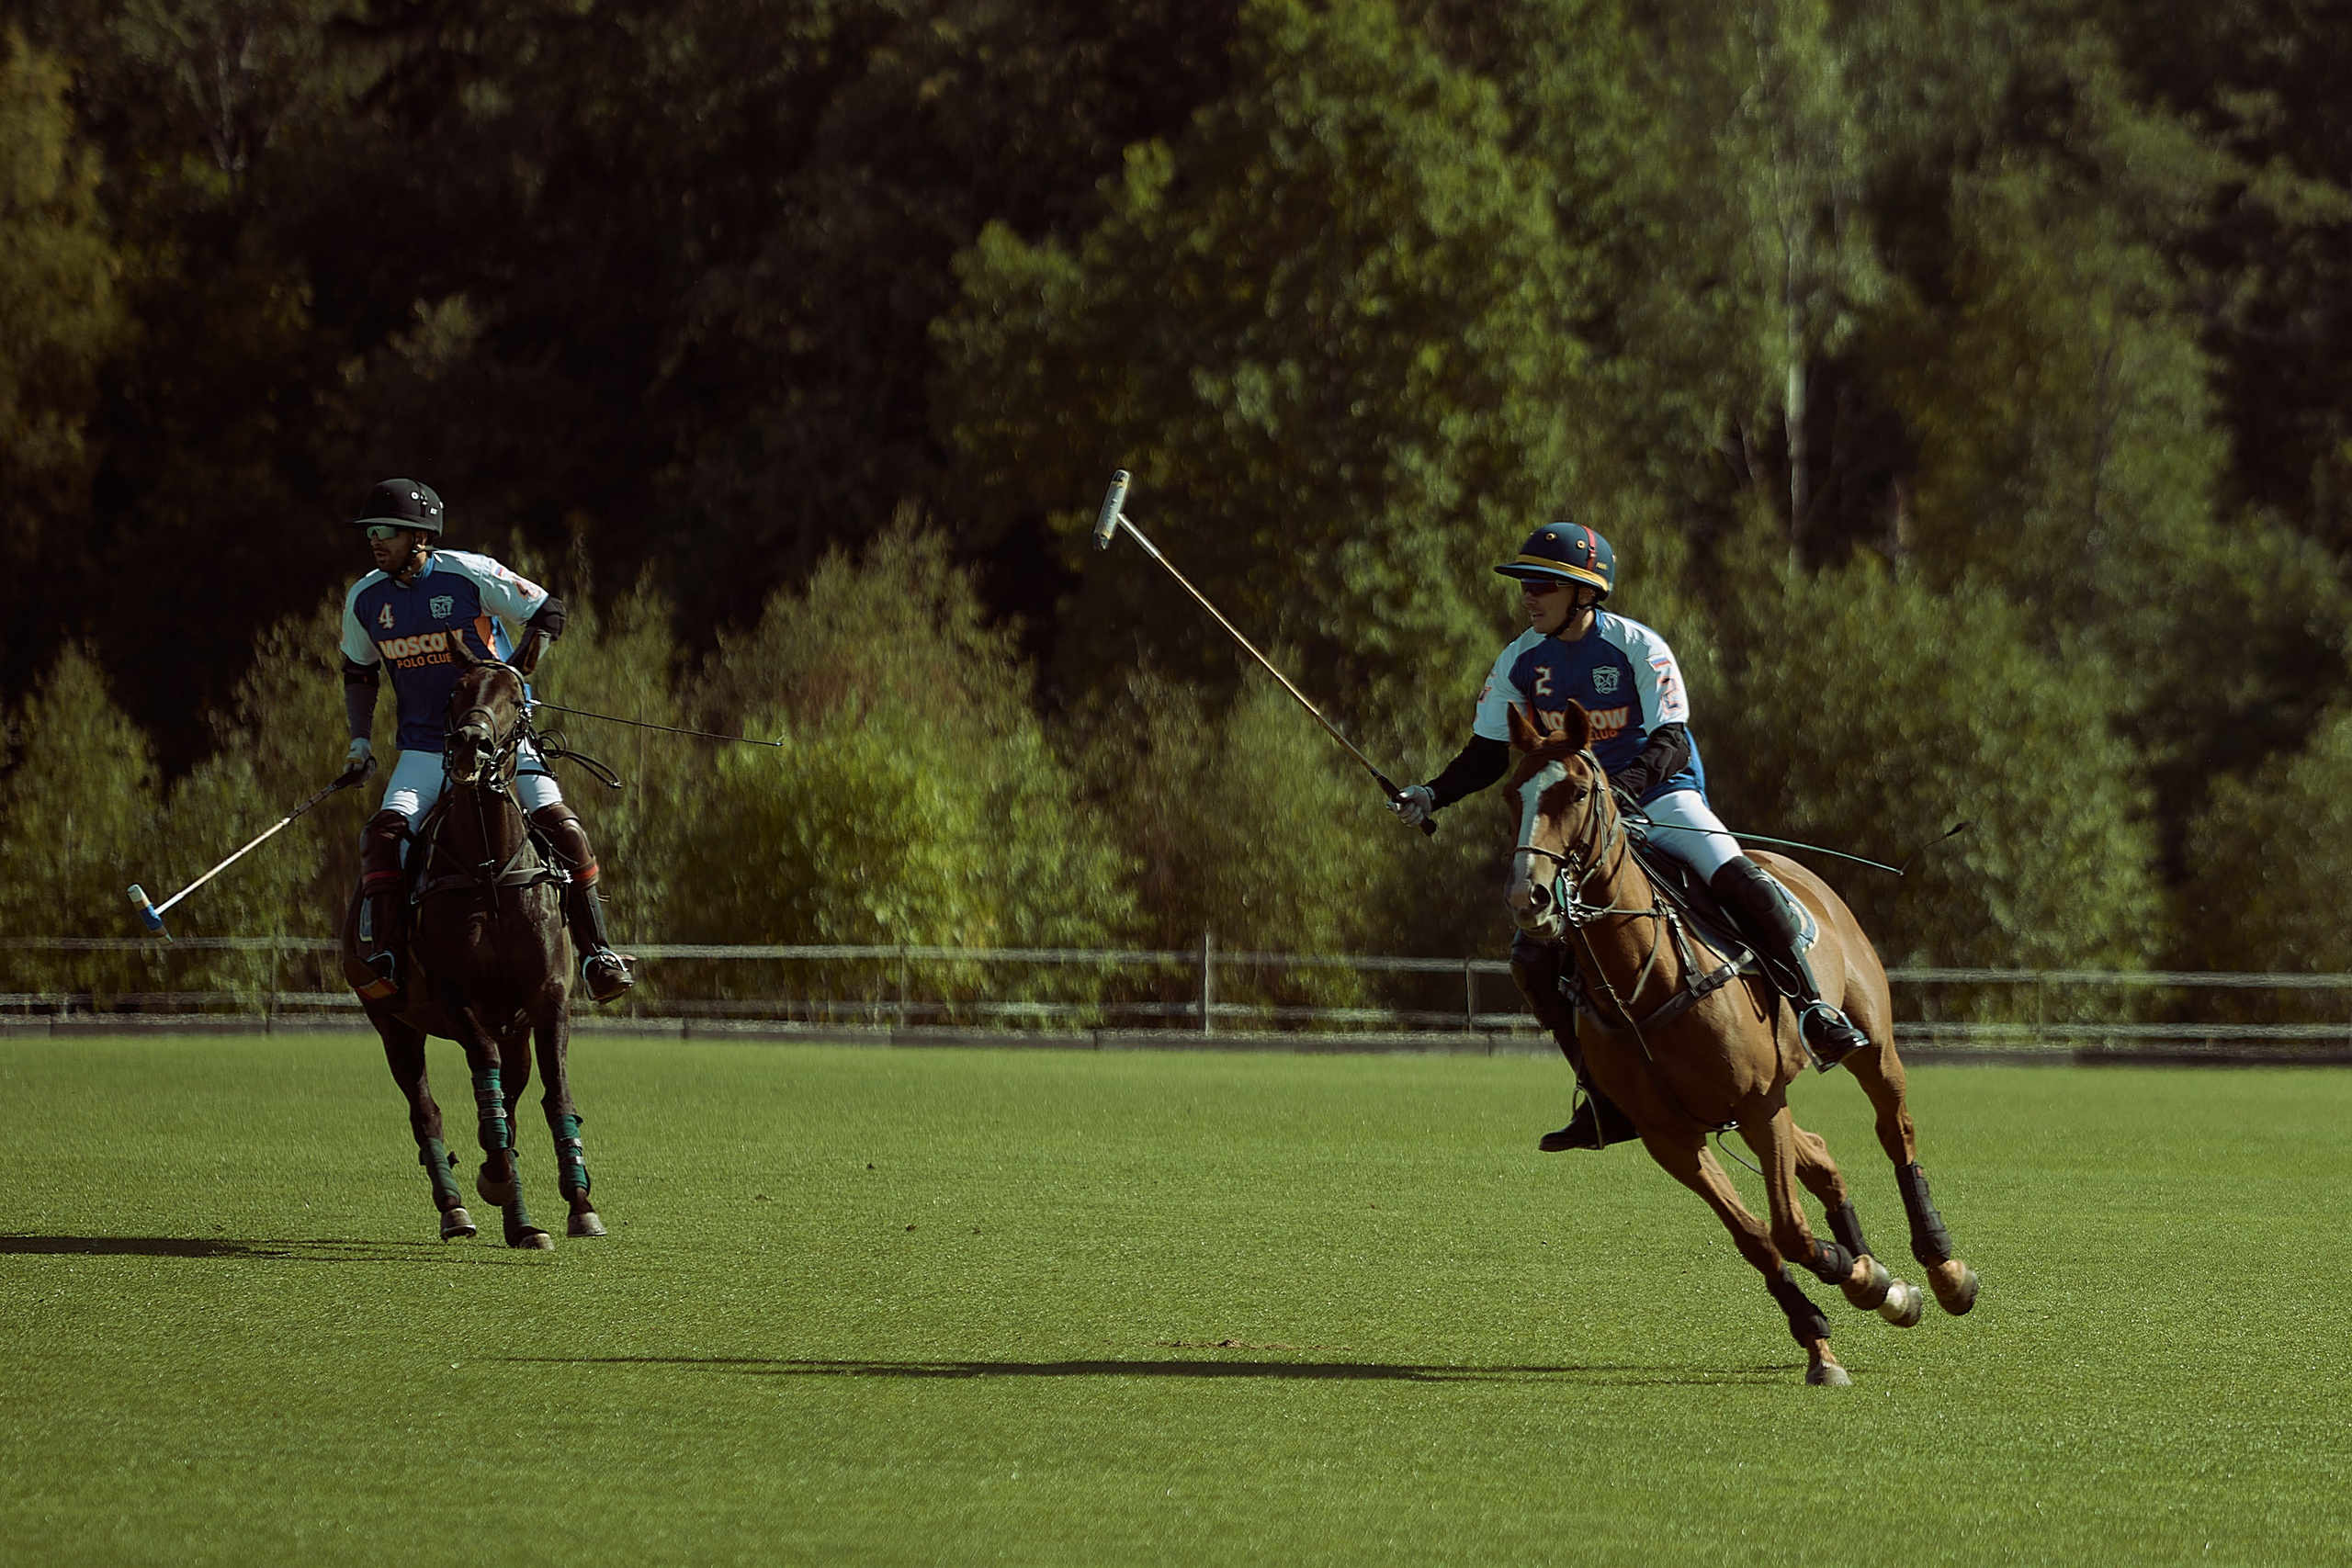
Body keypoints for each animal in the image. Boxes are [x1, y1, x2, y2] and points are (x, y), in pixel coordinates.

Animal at [339, 643, 603, 1249]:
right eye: (456, 691)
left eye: (515, 697)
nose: (469, 745)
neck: (489, 867)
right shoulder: (456, 999)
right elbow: (486, 1084)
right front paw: (495, 1177)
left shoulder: (547, 997)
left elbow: (554, 1094)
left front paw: (579, 1202)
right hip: (393, 1023)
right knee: (427, 1110)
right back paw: (456, 1207)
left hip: (515, 1028)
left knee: (512, 1099)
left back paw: (524, 1224)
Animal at [1503, 700, 1977, 1385]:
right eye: (1513, 792)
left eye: (1578, 790)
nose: (1529, 896)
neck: (1646, 981)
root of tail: (1788, 866)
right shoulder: (1671, 1137)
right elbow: (1757, 1236)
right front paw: (1829, 1327)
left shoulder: (1757, 1104)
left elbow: (1790, 1229)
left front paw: (1861, 1281)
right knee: (1822, 1155)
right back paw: (1885, 1279)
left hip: (1871, 1047)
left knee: (1896, 1131)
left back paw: (1942, 1269)